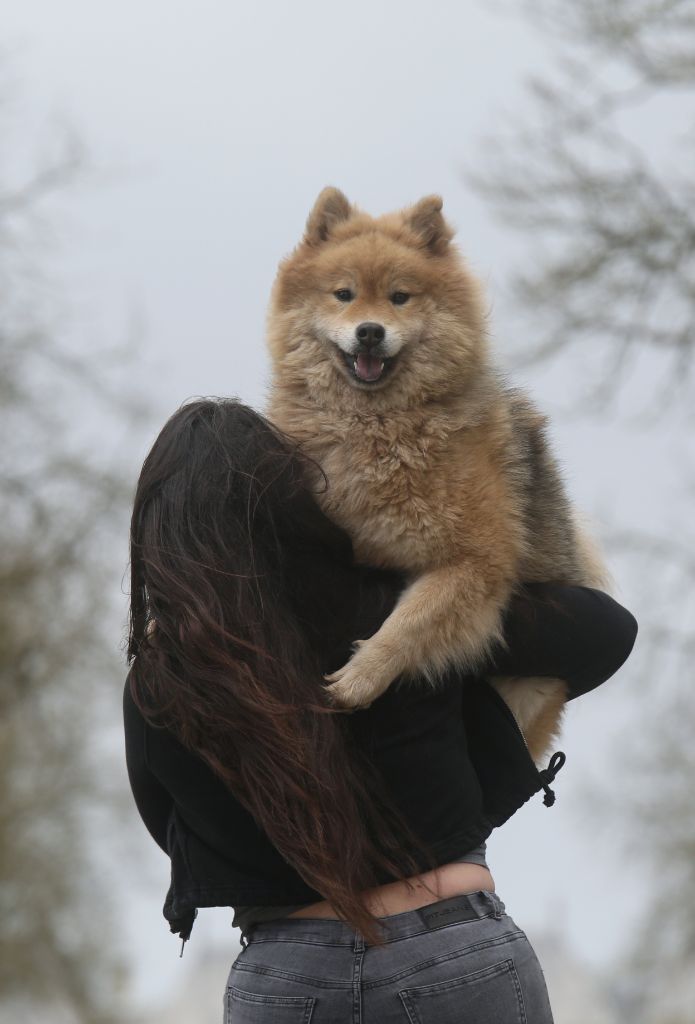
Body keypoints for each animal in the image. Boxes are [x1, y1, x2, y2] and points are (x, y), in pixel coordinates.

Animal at [266, 190, 610, 761]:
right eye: (344, 295)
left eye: (400, 297)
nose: (370, 331)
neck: (379, 429)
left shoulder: (474, 562)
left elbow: (410, 624)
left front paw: (361, 676)